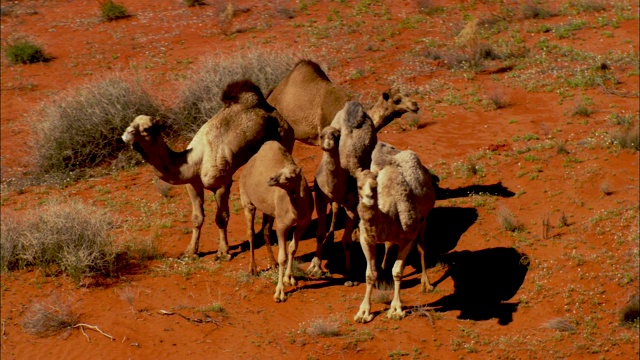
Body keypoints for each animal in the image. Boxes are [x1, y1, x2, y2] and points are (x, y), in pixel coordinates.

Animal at [122, 79, 296, 258]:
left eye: (146, 129)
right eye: (130, 124)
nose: (126, 134)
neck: (194, 161)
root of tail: (277, 113)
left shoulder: (221, 184)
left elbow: (221, 218)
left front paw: (223, 252)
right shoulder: (192, 184)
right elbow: (197, 218)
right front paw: (190, 252)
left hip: (286, 139)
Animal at [239, 139, 314, 302]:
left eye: (290, 176)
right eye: (280, 171)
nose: (270, 179)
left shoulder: (303, 223)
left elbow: (292, 248)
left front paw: (289, 278)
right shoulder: (282, 225)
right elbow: (283, 256)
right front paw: (279, 293)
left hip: (269, 211)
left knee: (266, 231)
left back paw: (271, 263)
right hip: (247, 201)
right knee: (251, 233)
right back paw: (253, 269)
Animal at [308, 126, 360, 276]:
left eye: (337, 135)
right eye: (321, 135)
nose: (328, 143)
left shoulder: (351, 204)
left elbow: (347, 241)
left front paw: (349, 271)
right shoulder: (319, 199)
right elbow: (319, 234)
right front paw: (316, 268)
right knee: (335, 210)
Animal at [352, 141, 438, 324]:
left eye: (375, 186)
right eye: (358, 186)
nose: (368, 199)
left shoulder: (408, 237)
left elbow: (397, 272)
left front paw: (396, 309)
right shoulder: (366, 239)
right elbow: (369, 274)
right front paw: (363, 312)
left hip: (424, 218)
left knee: (422, 247)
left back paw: (426, 284)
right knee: (389, 245)